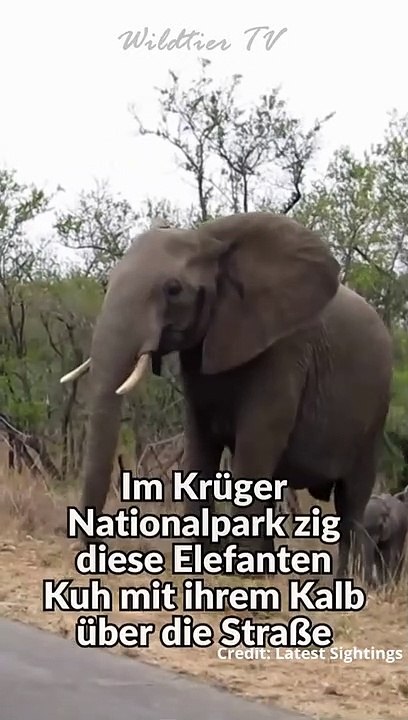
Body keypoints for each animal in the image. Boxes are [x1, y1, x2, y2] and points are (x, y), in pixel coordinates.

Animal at [60, 212, 393, 577]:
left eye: (173, 289)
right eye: (108, 282)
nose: (91, 550)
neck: (212, 242)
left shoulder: (284, 351)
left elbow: (255, 442)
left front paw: (241, 574)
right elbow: (200, 443)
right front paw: (201, 563)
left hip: (374, 417)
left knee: (352, 500)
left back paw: (347, 580)